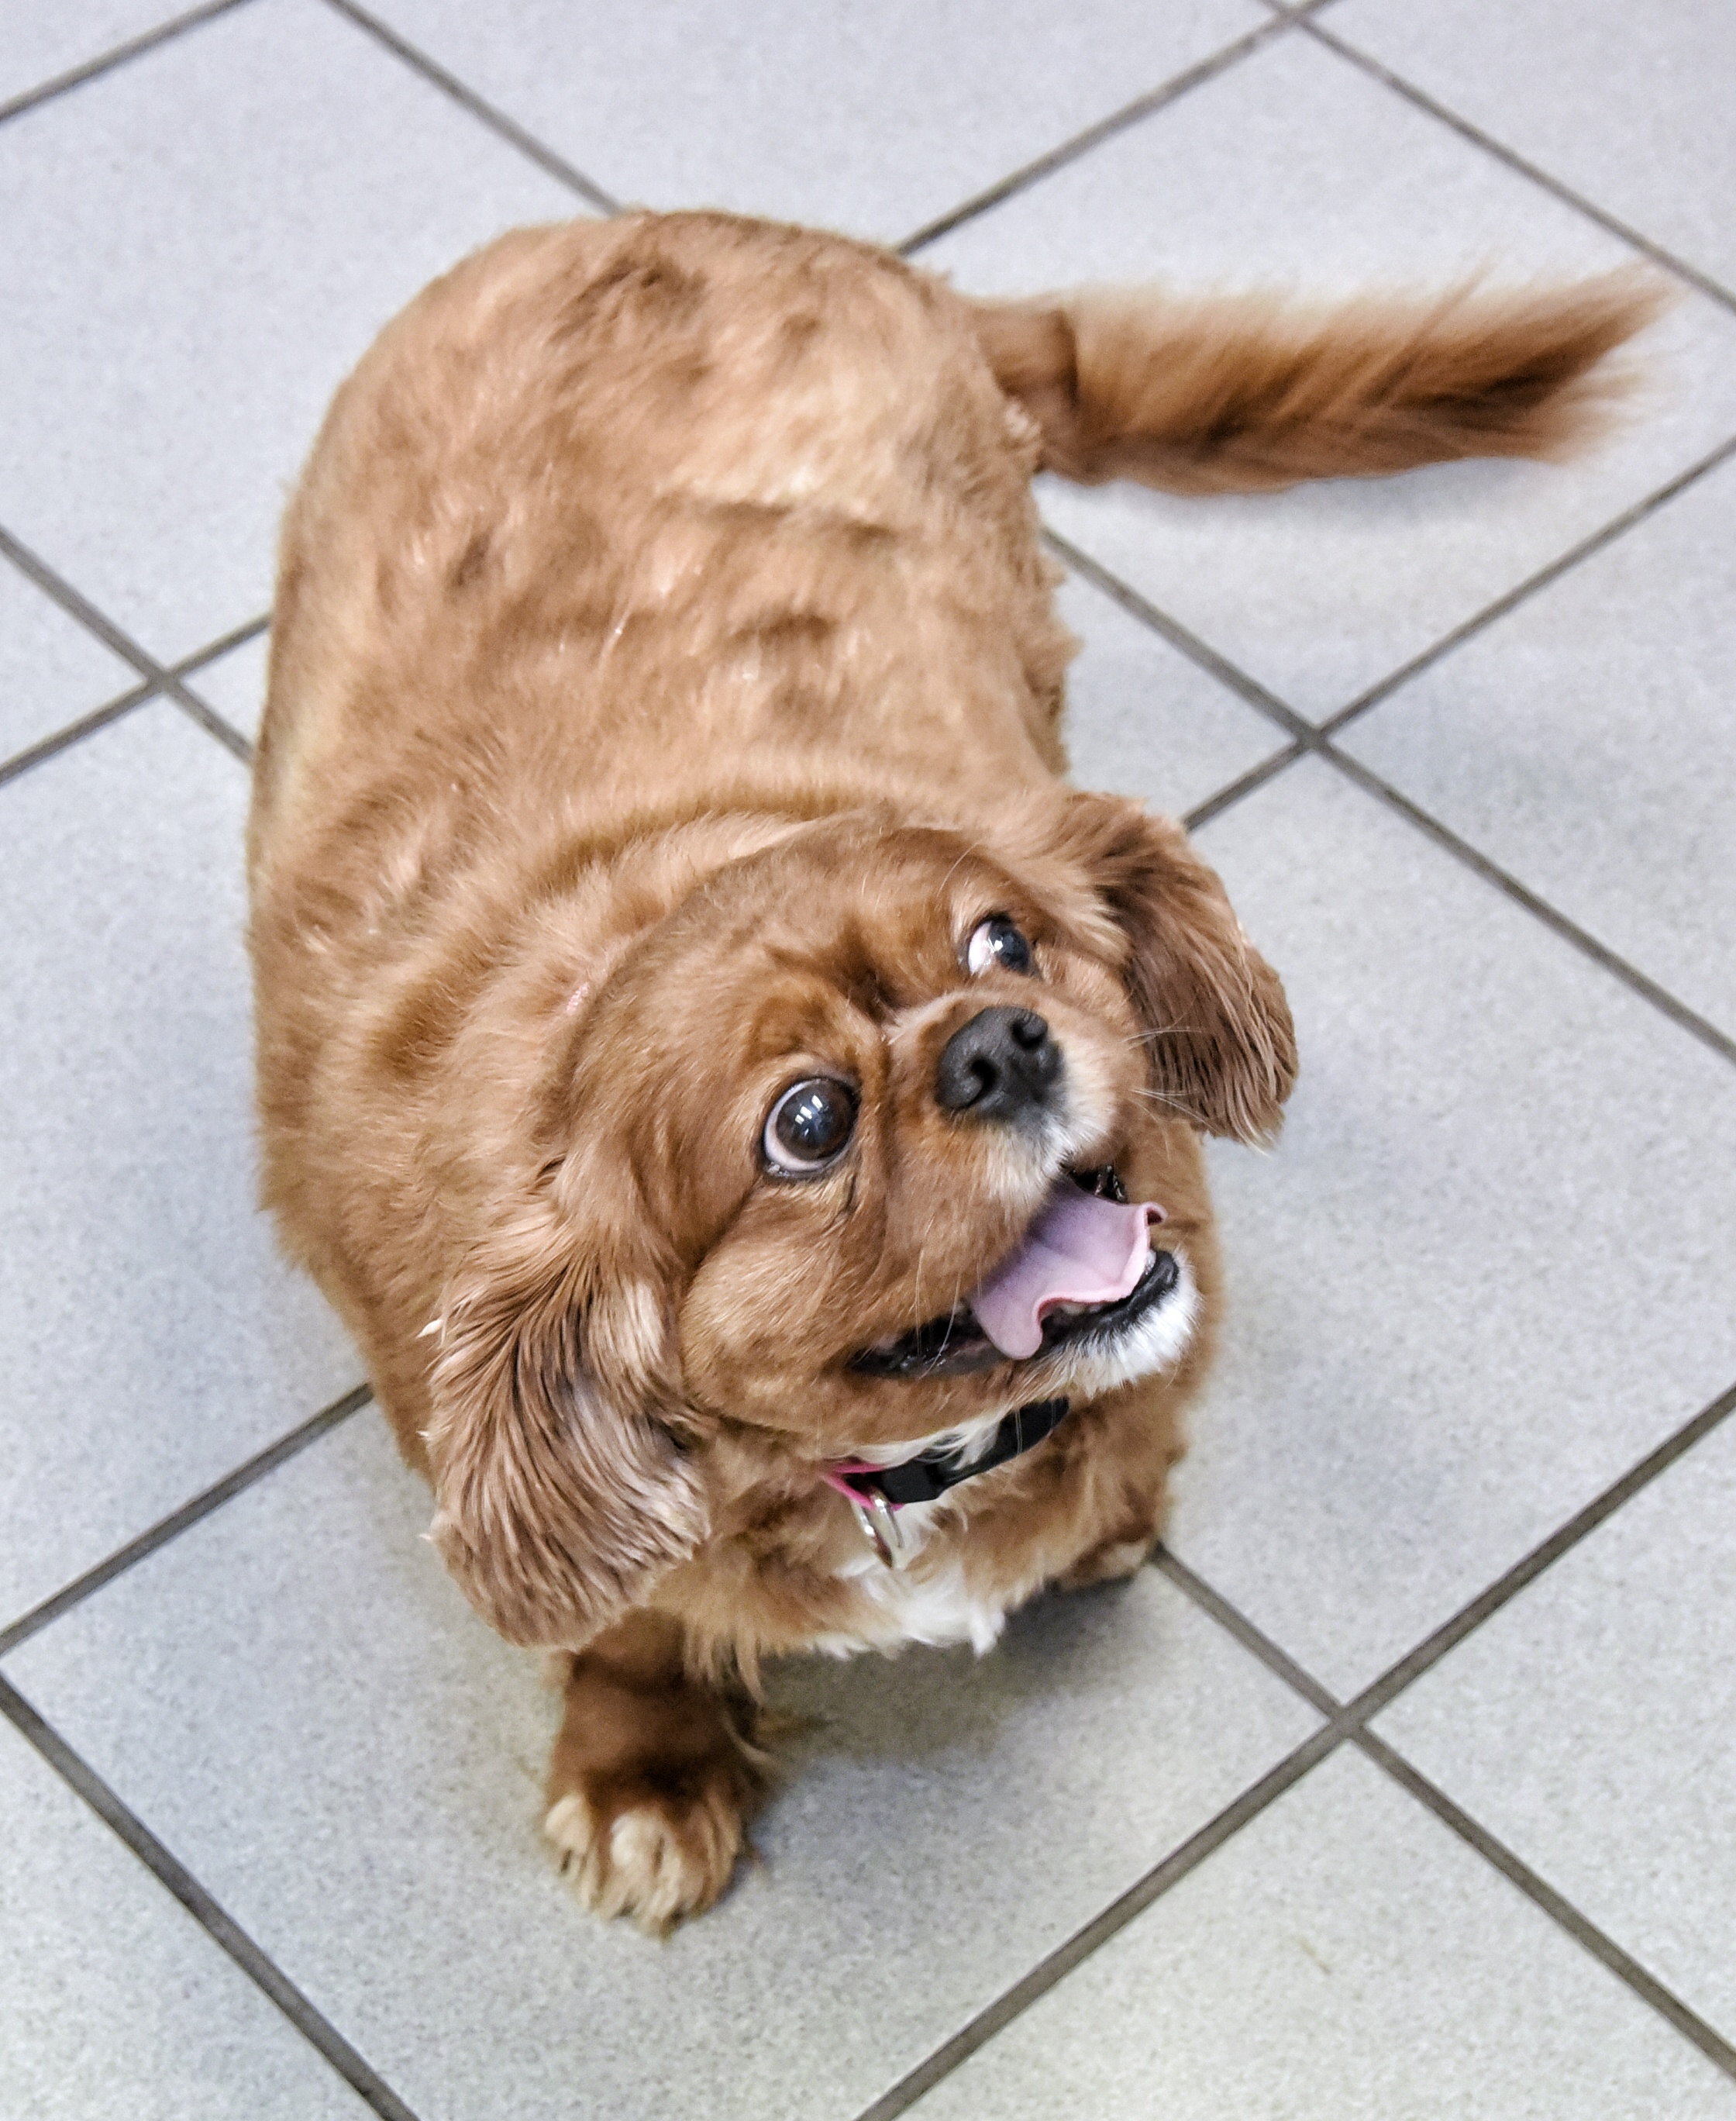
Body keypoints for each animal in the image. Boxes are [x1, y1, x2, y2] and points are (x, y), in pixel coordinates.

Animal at [244, 206, 1653, 1934]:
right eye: (806, 1123)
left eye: (1004, 941)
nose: (998, 1043)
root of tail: (757, 233)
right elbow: (628, 1622)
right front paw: (646, 1766)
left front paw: (1110, 1516)